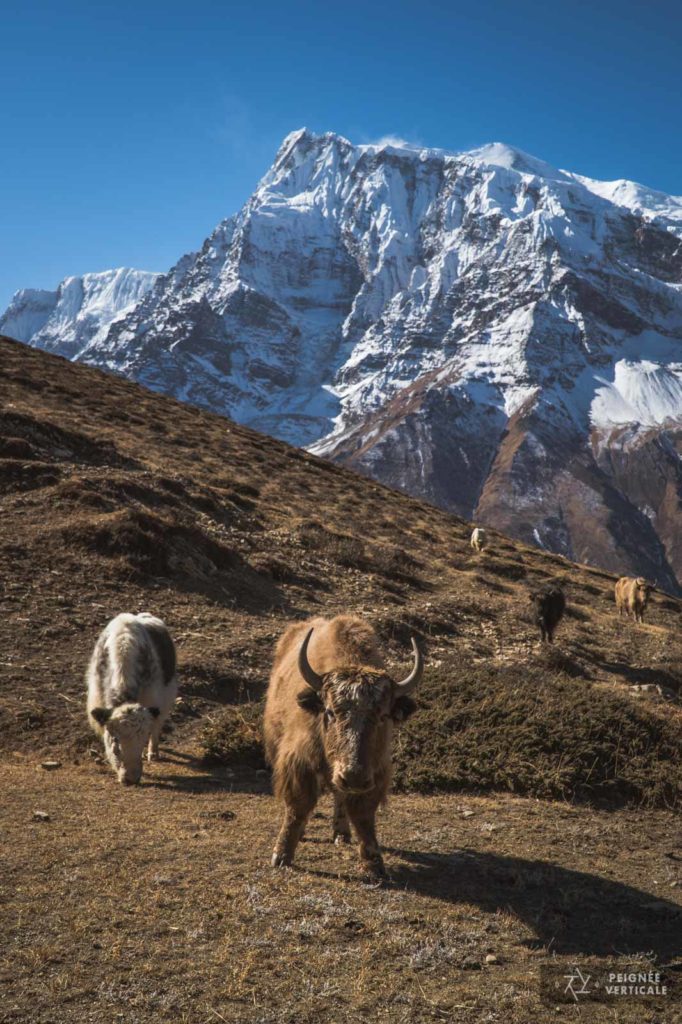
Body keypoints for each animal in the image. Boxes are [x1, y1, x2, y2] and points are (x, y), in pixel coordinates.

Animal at [87, 610, 178, 786]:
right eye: (115, 739)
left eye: (142, 739)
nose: (131, 779)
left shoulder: (152, 698)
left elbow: (153, 728)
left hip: (166, 697)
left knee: (158, 725)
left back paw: (153, 754)